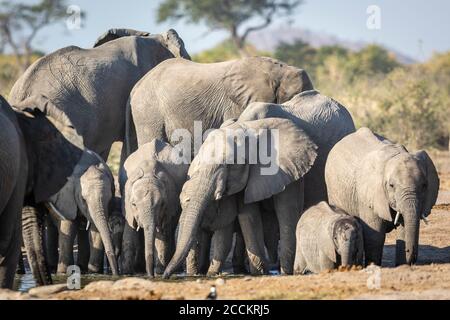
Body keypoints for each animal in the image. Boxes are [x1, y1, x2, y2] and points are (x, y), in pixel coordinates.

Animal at [119, 139, 188, 276]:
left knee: (169, 228)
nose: (149, 275)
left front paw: (159, 272)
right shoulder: (127, 202)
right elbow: (130, 230)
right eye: (134, 204)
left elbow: (161, 234)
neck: (148, 172)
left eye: (161, 204)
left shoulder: (169, 200)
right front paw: (126, 272)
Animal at [163, 117, 318, 278]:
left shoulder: (289, 169)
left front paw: (282, 273)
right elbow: (249, 217)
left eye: (230, 164)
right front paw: (260, 272)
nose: (165, 276)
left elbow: (287, 213)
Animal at [326, 127, 438, 264]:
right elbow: (375, 236)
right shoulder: (368, 195)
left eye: (424, 186)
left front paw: (402, 265)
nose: (412, 258)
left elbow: (403, 229)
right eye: (391, 185)